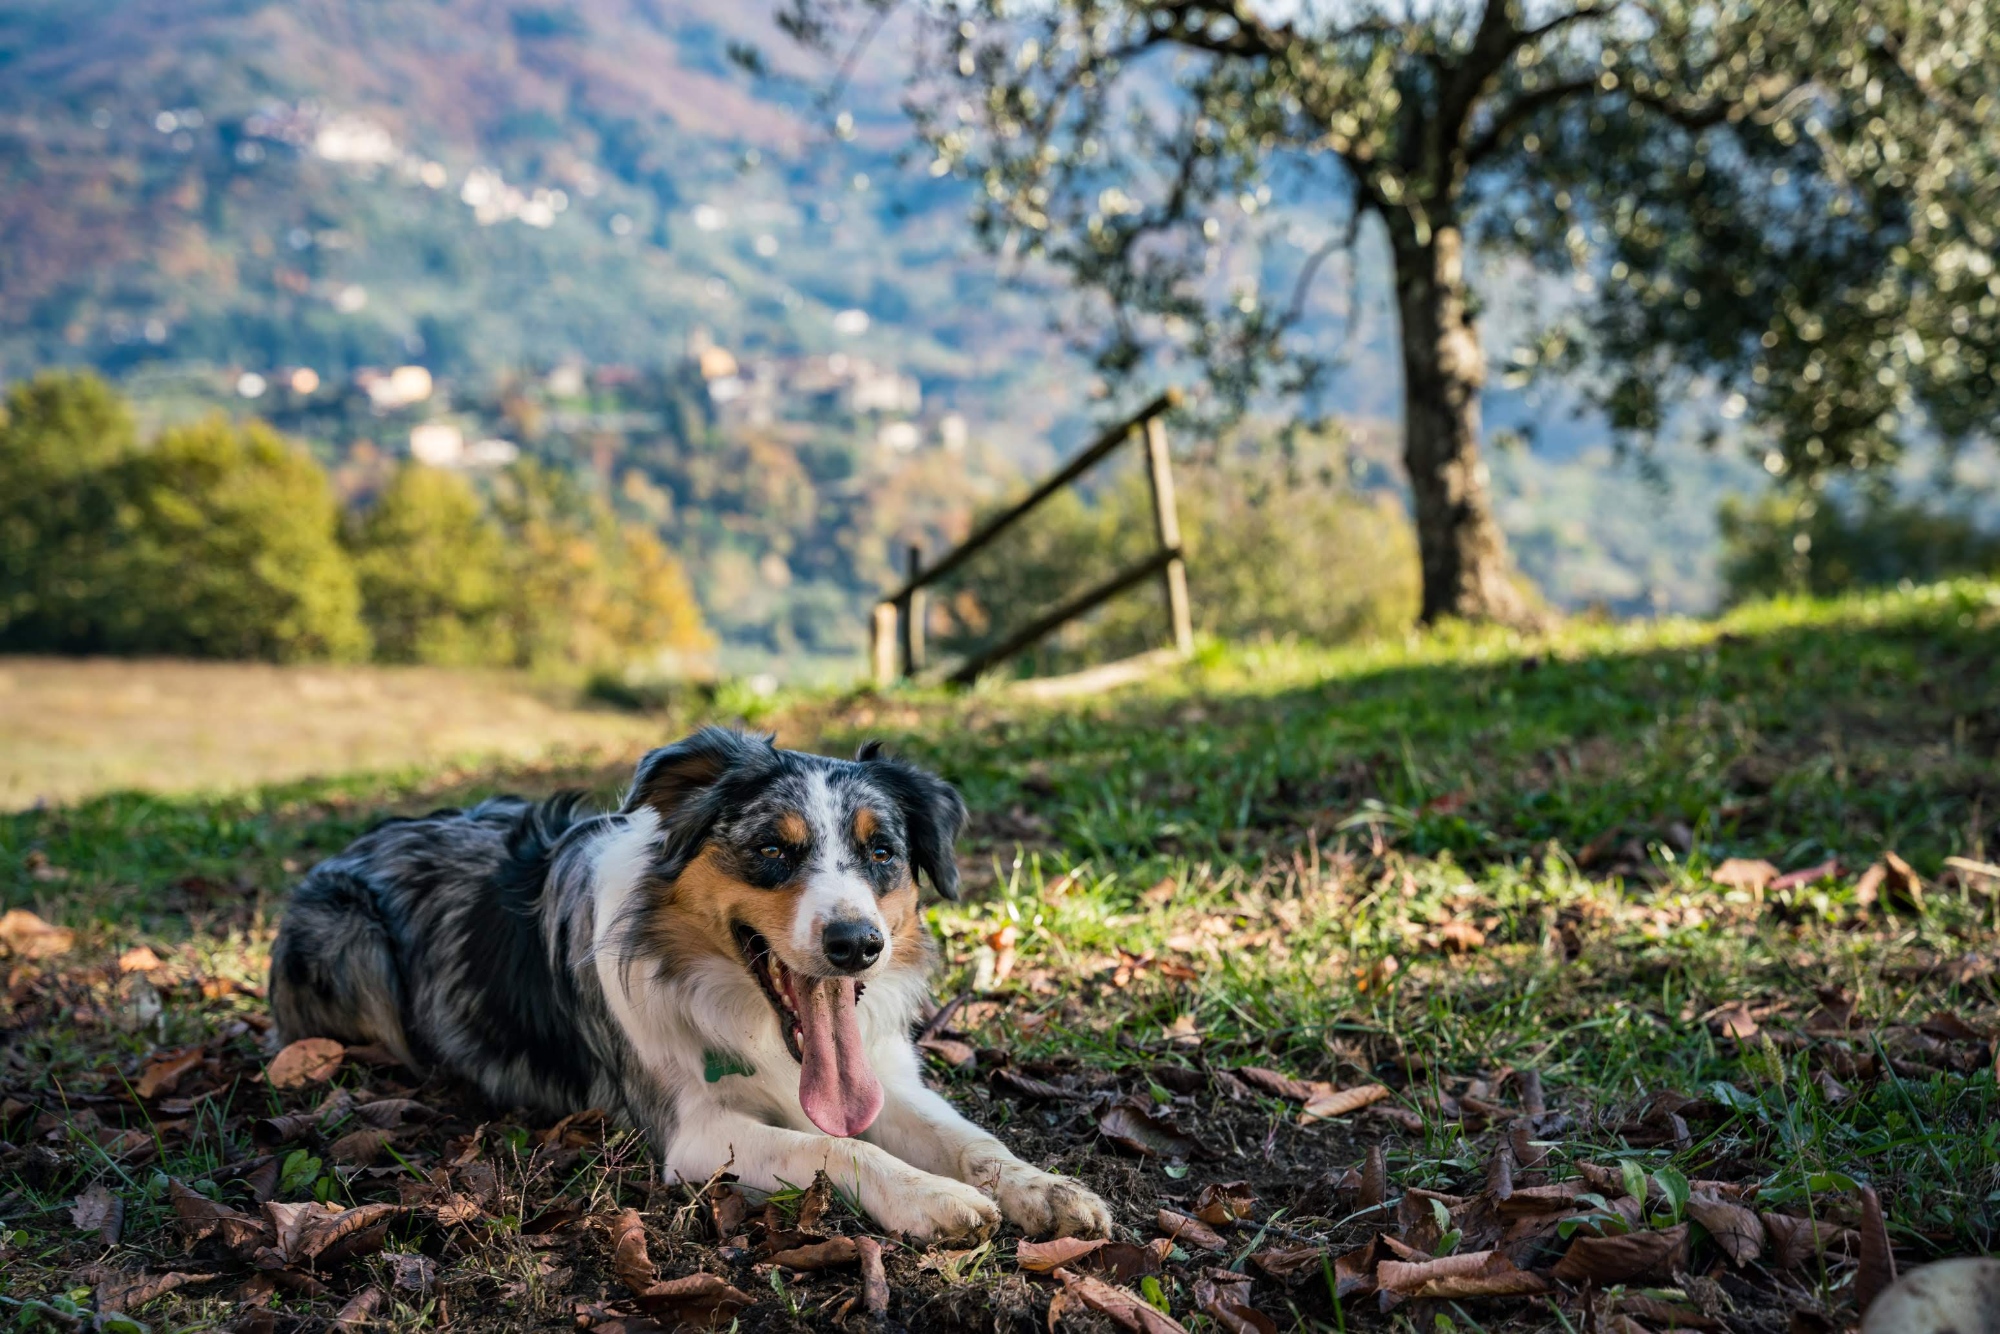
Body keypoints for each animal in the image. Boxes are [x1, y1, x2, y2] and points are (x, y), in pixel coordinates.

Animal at [266, 732, 1112, 1240]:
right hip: (348, 933)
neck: (752, 1024)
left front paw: (1045, 1189)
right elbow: (837, 1147)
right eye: (772, 849)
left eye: (882, 852)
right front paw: (932, 1198)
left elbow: (969, 1139)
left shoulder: (881, 1077)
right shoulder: (695, 1133)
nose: (857, 945)